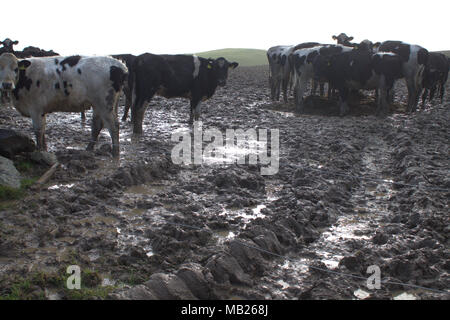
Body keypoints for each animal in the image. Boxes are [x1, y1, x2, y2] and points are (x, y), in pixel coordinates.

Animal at [0, 52, 128, 156]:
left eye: (15, 68)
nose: (7, 84)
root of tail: (118, 64)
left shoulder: (35, 108)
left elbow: (38, 130)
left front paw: (39, 151)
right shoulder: (41, 110)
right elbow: (43, 129)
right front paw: (45, 149)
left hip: (104, 103)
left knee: (113, 126)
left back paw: (115, 153)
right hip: (101, 104)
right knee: (97, 125)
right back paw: (89, 149)